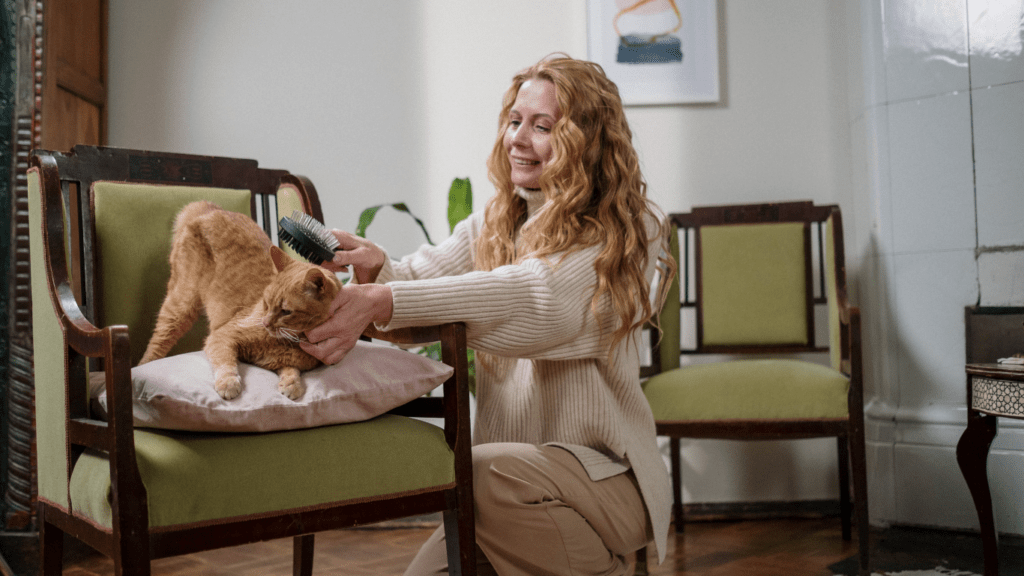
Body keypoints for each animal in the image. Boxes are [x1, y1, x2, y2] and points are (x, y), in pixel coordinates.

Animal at [138, 200, 344, 399]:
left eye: (286, 311)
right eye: (266, 303)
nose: (265, 322)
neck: (288, 341)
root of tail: (210, 209)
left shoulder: (279, 362)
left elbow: (291, 370)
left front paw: (292, 385)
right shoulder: (222, 337)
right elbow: (226, 363)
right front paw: (228, 384)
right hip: (180, 305)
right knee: (156, 345)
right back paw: (143, 367)